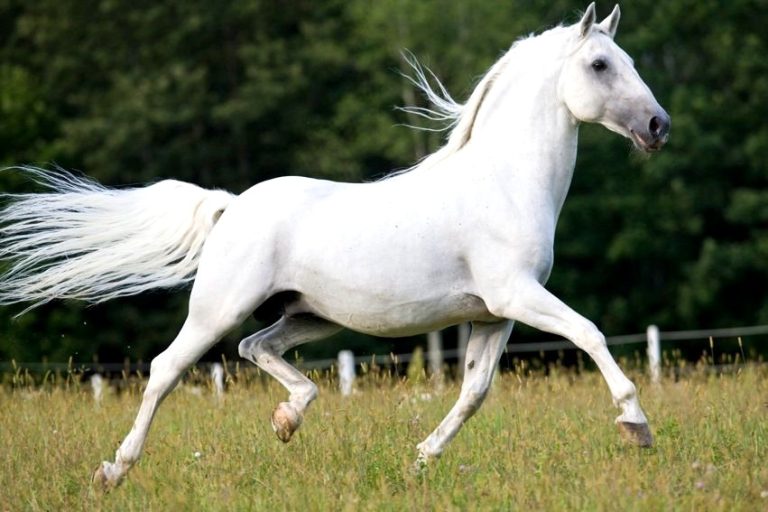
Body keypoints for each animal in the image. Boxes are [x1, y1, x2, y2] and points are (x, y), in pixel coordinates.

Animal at [0, 3, 669, 489]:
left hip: (310, 316)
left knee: (256, 349)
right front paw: (635, 425)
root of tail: (231, 205)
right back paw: (114, 471)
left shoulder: (493, 314)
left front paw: (422, 459)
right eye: (600, 65)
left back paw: (288, 418)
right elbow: (590, 334)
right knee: (167, 370)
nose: (659, 126)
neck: (505, 183)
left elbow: (474, 392)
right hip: (219, 307)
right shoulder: (519, 296)